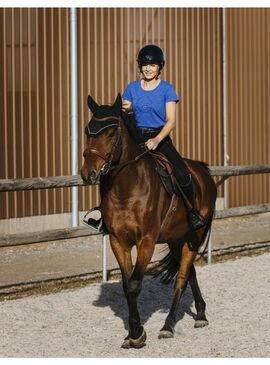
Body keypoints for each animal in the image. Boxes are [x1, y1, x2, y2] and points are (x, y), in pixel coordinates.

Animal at [80, 93, 217, 346]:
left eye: (111, 133)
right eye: (87, 130)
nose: (88, 173)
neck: (127, 188)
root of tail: (203, 171)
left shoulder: (147, 241)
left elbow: (135, 284)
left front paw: (136, 334)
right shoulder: (117, 241)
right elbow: (127, 285)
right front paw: (133, 332)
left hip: (194, 236)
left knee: (182, 276)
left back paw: (168, 325)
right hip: (176, 238)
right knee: (190, 272)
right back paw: (201, 314)